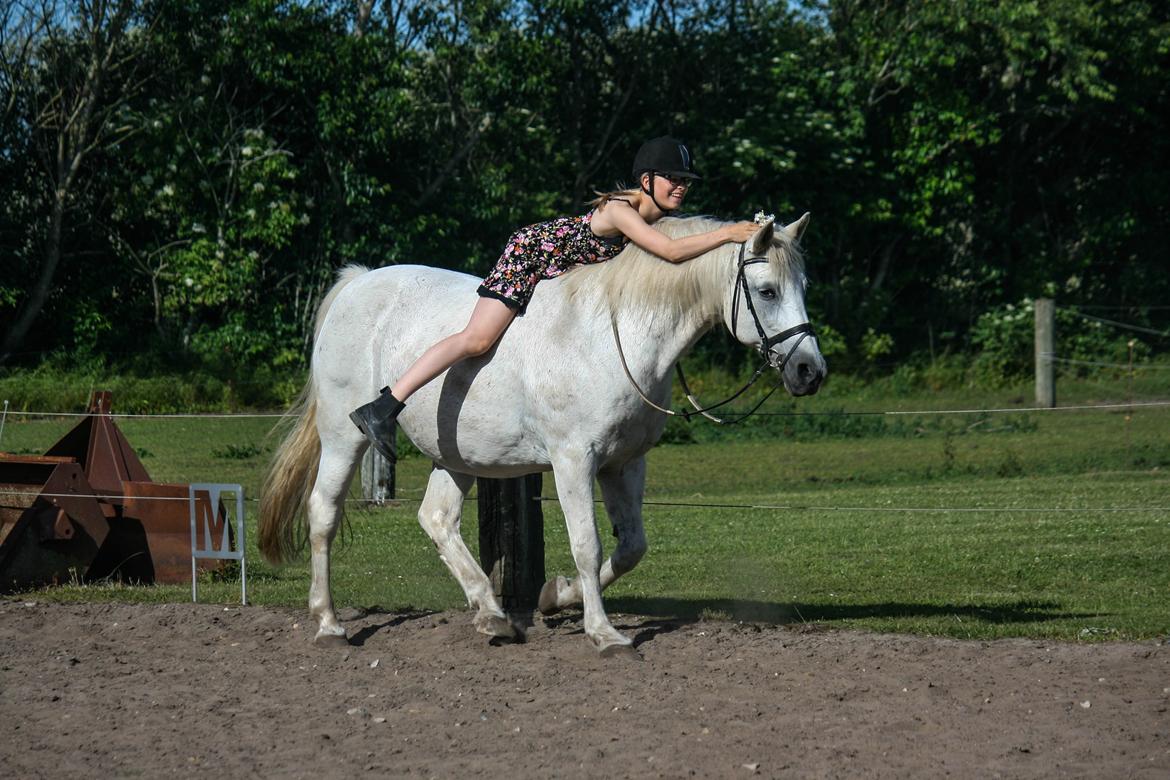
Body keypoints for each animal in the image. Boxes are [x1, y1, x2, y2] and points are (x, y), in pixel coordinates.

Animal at [258, 214, 823, 659]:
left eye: (802, 288)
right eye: (768, 291)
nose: (809, 371)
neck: (616, 335)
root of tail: (357, 284)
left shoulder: (624, 463)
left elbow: (631, 547)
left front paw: (557, 596)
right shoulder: (575, 460)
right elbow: (588, 544)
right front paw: (605, 634)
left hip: (457, 456)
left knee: (437, 519)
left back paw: (492, 614)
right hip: (342, 437)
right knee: (324, 514)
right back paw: (329, 623)